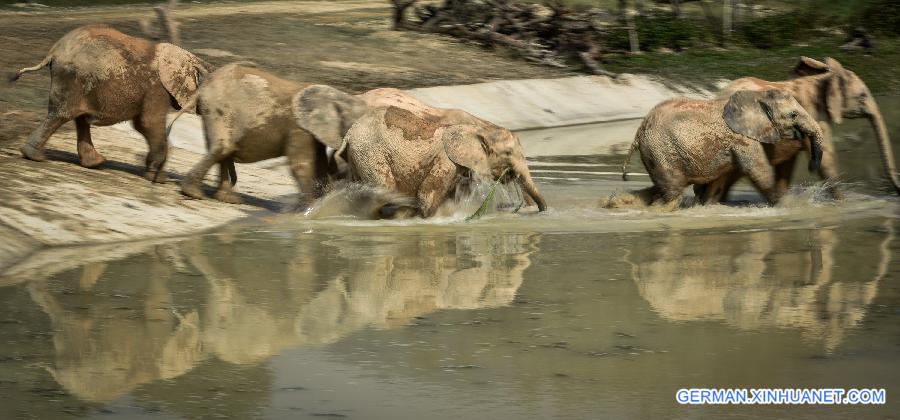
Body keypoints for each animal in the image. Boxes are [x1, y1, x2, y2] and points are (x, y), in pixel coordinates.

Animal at [11, 24, 211, 182]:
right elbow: (148, 123)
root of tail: (53, 52)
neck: (185, 54)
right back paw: (36, 157)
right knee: (62, 115)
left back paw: (94, 163)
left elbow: (142, 125)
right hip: (72, 78)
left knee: (77, 118)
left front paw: (154, 174)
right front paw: (157, 179)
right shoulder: (156, 88)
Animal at [340, 104, 544, 217]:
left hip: (357, 157)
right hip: (370, 154)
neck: (479, 129)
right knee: (384, 189)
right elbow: (427, 196)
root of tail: (349, 133)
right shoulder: (446, 162)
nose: (538, 210)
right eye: (508, 153)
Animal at [620, 89, 824, 208]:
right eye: (793, 114)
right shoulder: (743, 139)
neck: (757, 96)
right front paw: (787, 206)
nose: (810, 167)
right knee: (672, 192)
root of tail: (638, 132)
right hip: (661, 150)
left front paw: (706, 206)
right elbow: (758, 171)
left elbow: (719, 181)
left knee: (659, 188)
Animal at [692, 56, 896, 202]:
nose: (810, 166)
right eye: (862, 97)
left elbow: (787, 164)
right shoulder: (815, 114)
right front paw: (843, 205)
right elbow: (827, 161)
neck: (823, 78)